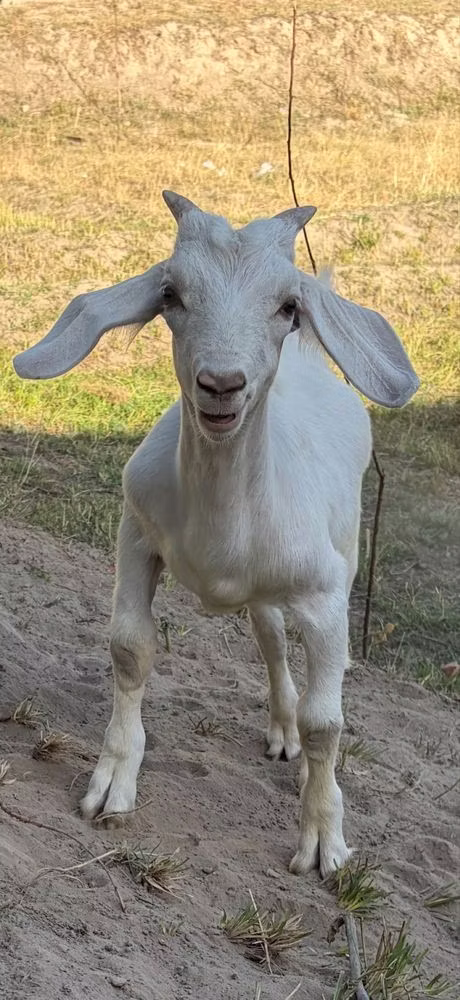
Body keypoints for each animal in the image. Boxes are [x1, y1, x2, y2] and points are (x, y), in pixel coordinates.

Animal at [13, 192, 419, 876]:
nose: (222, 385)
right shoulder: (136, 530)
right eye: (171, 294)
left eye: (287, 306)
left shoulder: (325, 595)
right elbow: (130, 648)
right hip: (260, 596)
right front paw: (112, 786)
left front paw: (323, 843)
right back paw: (280, 729)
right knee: (271, 641)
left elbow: (327, 723)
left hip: (338, 556)